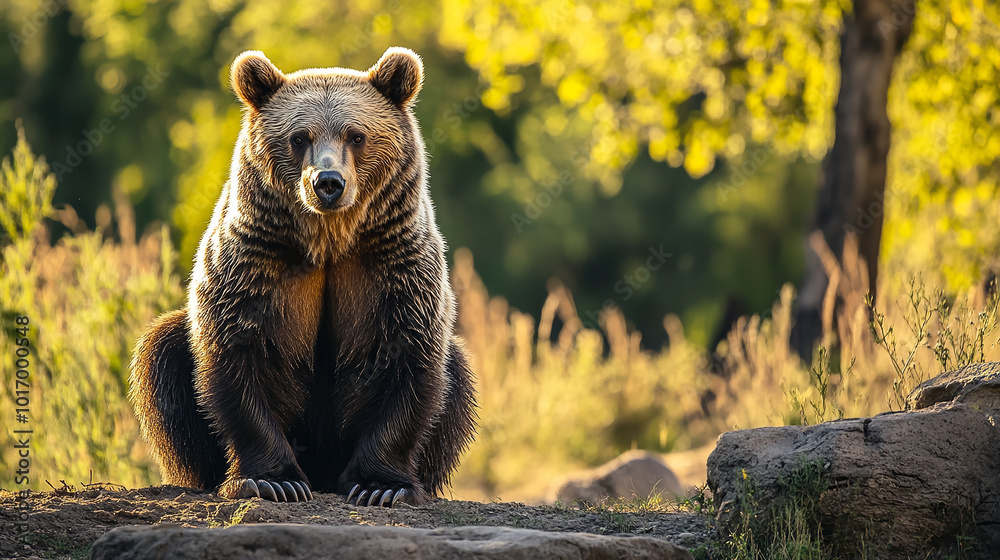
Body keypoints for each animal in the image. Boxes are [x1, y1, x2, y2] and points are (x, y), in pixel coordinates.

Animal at [129, 47, 477, 507]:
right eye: (299, 137)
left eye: (356, 135)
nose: (327, 182)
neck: (329, 243)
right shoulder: (256, 263)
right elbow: (236, 361)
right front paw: (273, 481)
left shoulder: (394, 268)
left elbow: (410, 364)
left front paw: (381, 486)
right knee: (162, 350)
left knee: (459, 375)